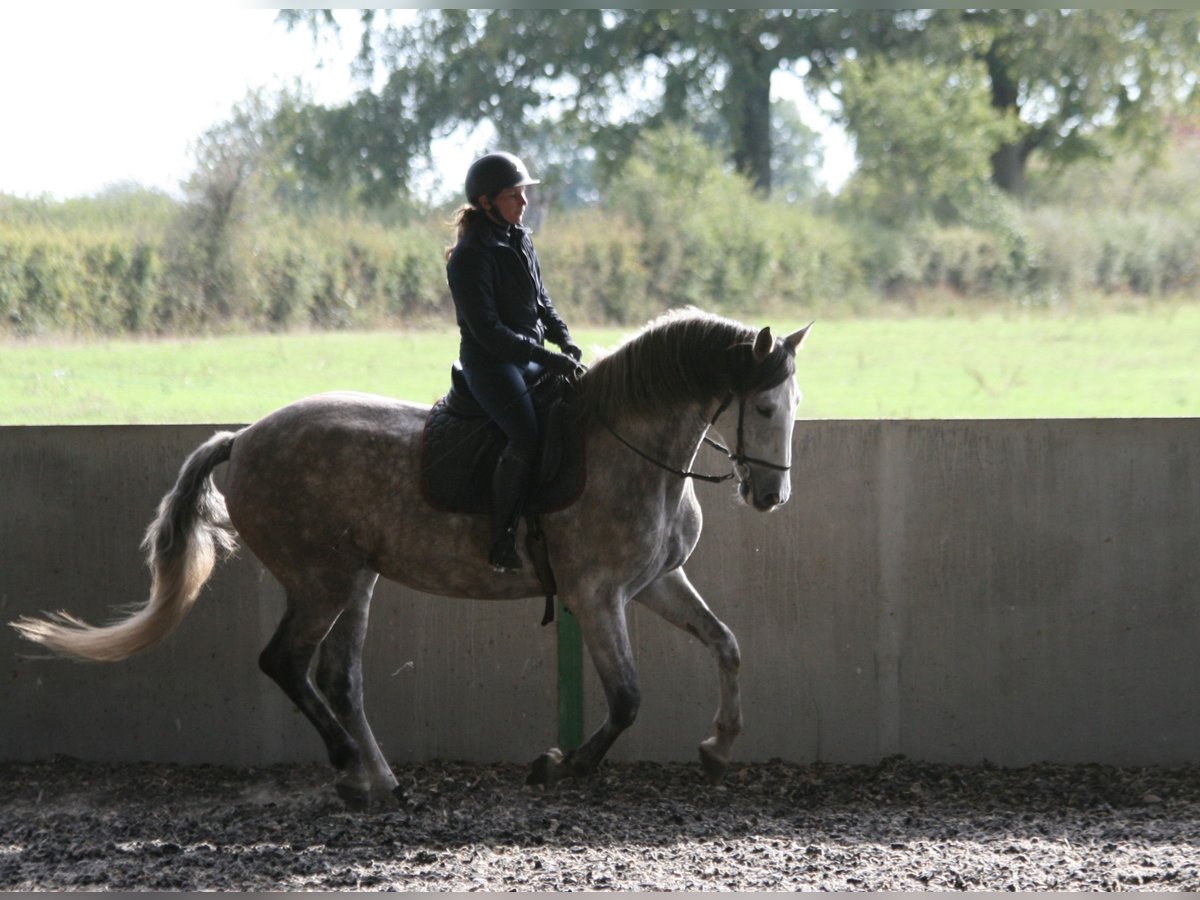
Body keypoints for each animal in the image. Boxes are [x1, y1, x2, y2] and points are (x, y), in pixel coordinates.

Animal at [11, 309, 806, 811]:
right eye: (765, 409)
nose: (770, 496)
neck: (630, 448)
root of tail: (244, 438)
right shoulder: (596, 594)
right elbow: (628, 698)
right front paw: (559, 766)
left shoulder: (655, 583)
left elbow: (726, 645)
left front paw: (718, 746)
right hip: (321, 579)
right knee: (287, 663)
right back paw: (349, 768)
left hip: (353, 580)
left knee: (339, 677)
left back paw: (378, 781)